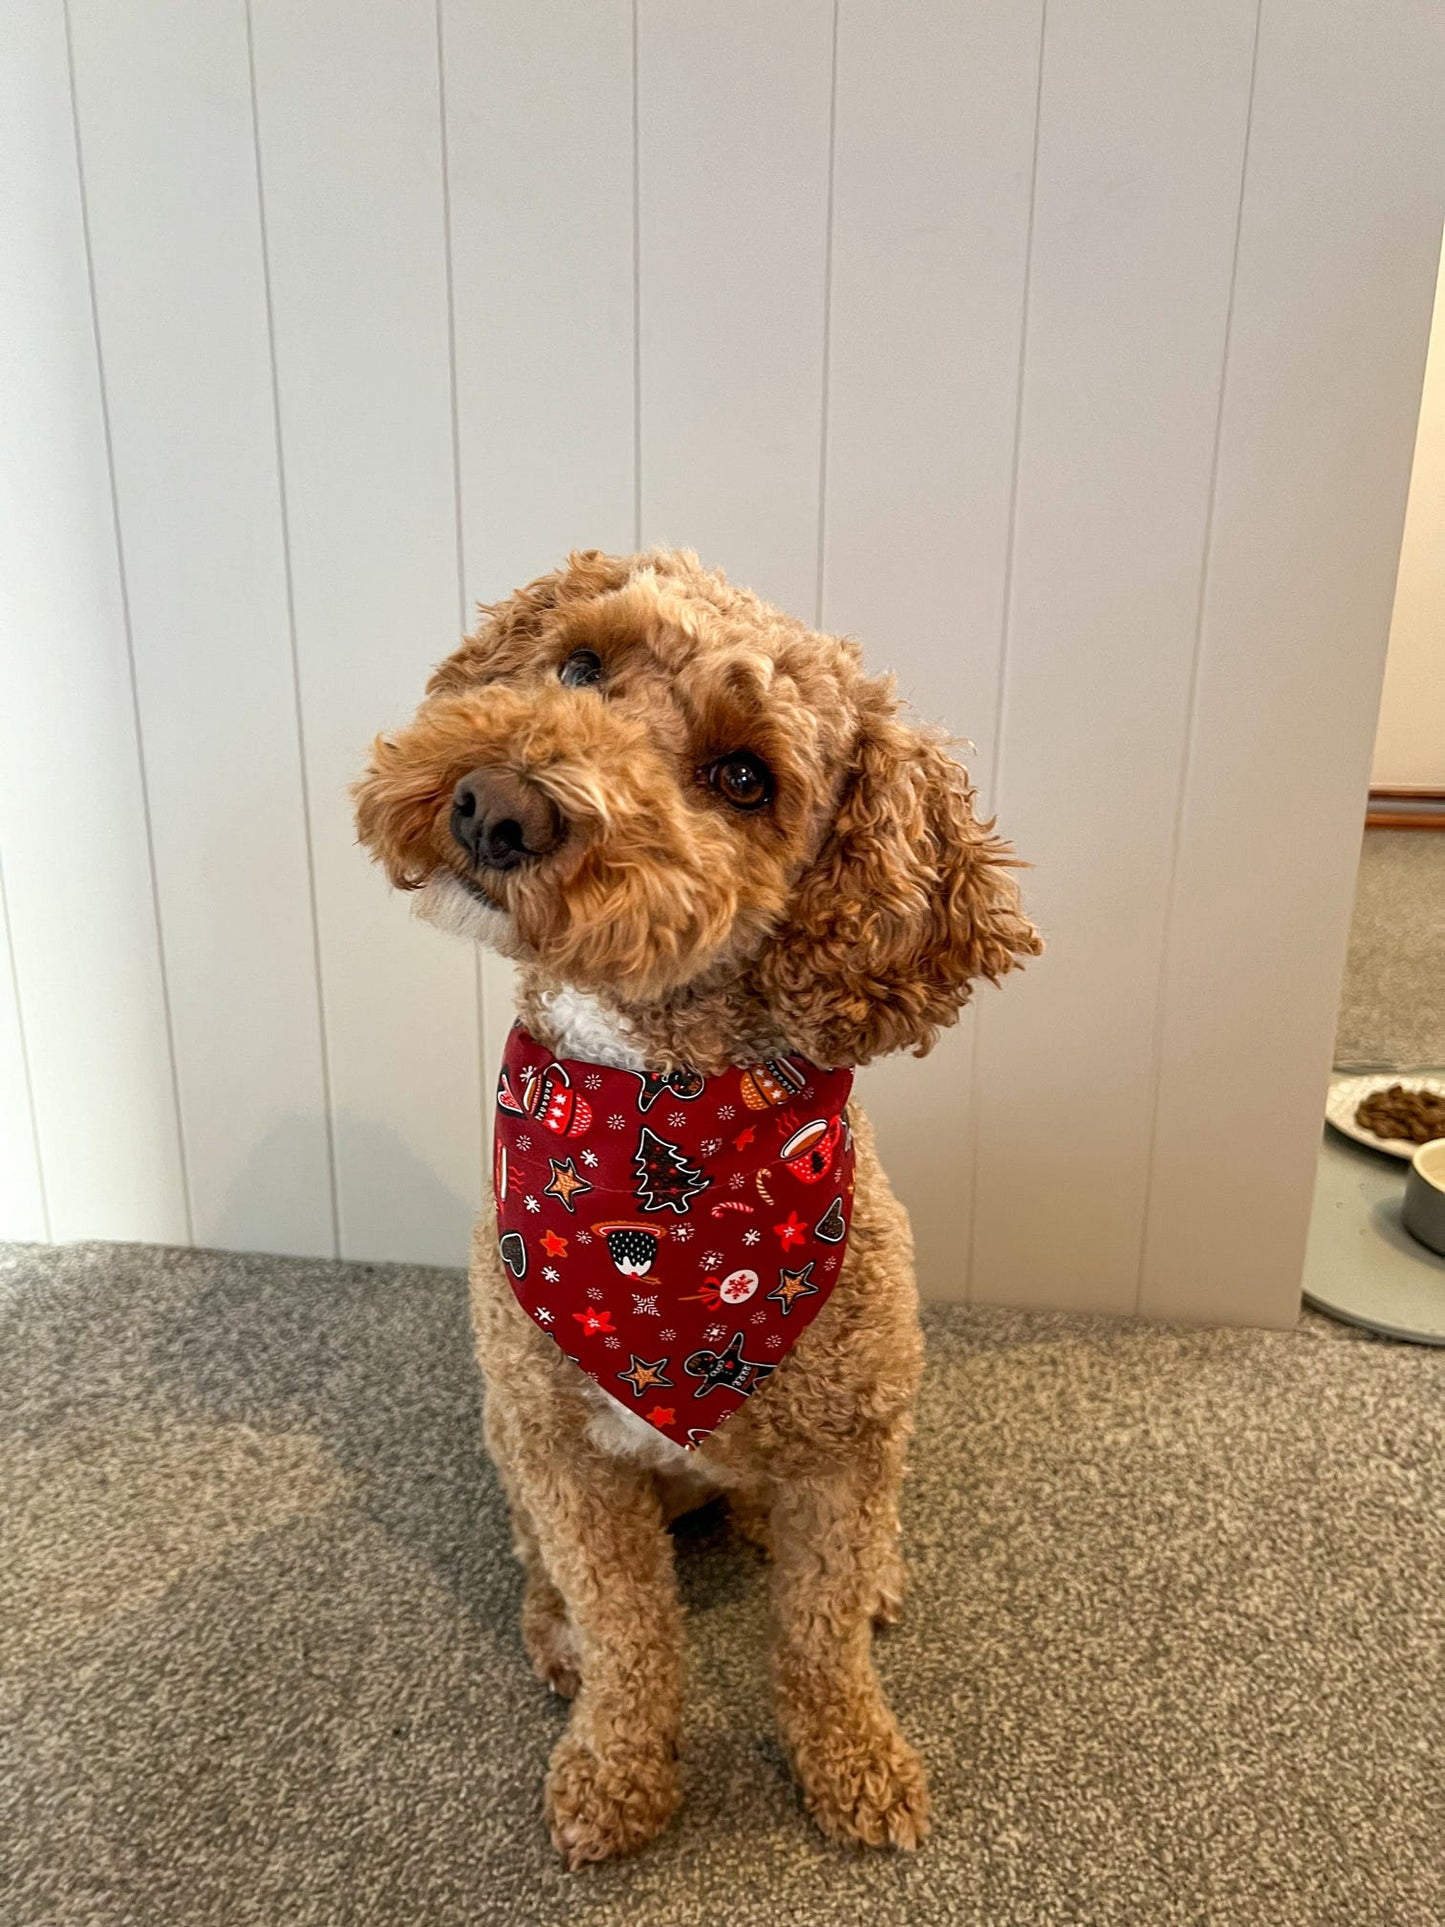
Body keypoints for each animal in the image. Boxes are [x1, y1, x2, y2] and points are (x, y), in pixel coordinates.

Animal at [356, 547, 1048, 1865]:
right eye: (579, 664)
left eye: (742, 777)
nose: (495, 806)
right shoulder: (567, 1456)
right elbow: (630, 1632)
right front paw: (616, 1773)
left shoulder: (847, 1446)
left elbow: (819, 1637)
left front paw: (852, 1760)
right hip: (510, 1441)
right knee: (538, 1562)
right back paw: (551, 1631)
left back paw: (870, 1574)